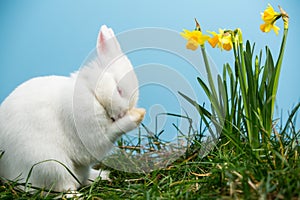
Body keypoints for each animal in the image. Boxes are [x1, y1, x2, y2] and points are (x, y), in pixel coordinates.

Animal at [0, 25, 145, 192]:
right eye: (119, 90)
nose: (123, 112)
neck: (93, 92)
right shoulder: (90, 133)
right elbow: (112, 131)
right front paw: (136, 117)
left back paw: (102, 175)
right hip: (51, 165)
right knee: (65, 186)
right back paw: (77, 194)